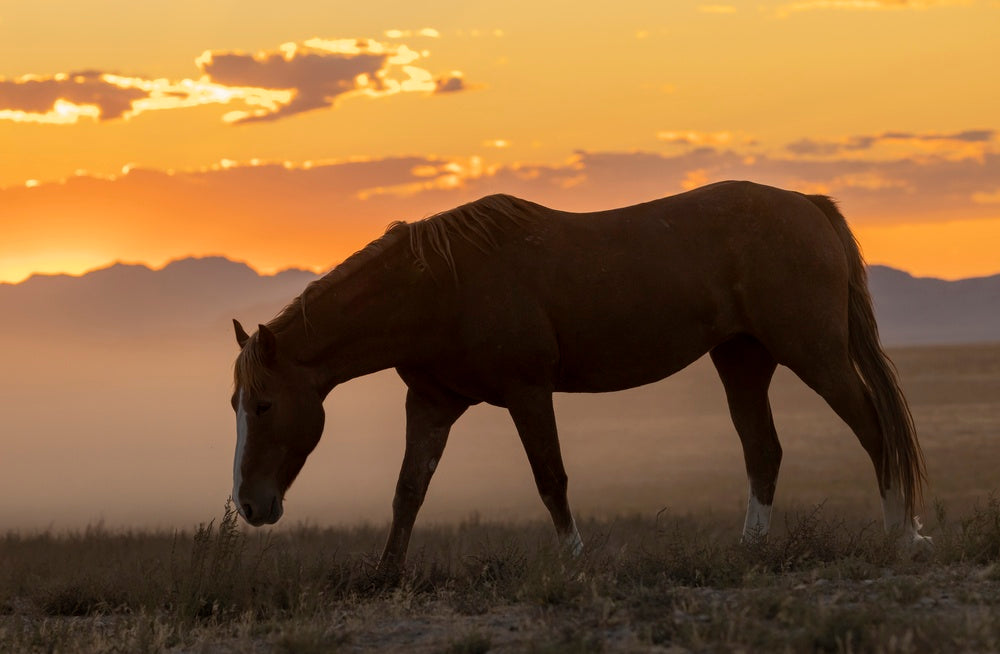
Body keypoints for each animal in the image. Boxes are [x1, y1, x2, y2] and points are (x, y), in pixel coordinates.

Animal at [230, 180, 929, 572]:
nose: (250, 506)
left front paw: (575, 561)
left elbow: (551, 479)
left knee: (874, 429)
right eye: (235, 403)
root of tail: (809, 207)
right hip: (742, 359)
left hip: (814, 351)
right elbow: (409, 490)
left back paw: (901, 536)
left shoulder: (527, 392)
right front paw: (387, 573)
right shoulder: (430, 404)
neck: (439, 285)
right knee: (764, 450)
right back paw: (751, 551)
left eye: (262, 405)